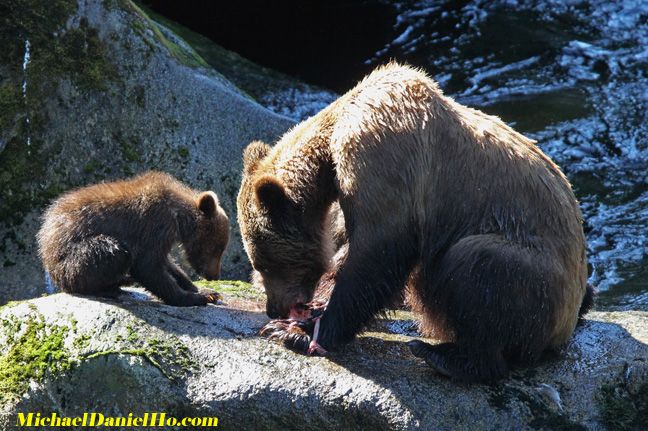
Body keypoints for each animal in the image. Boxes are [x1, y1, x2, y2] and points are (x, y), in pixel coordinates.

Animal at [37, 171, 230, 308]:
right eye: (217, 248)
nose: (215, 275)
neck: (178, 216)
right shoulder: (154, 224)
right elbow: (148, 266)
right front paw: (196, 297)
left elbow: (167, 264)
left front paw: (206, 291)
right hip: (74, 255)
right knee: (113, 251)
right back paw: (109, 287)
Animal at [238, 63, 592, 382]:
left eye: (262, 263)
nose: (273, 308)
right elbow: (347, 254)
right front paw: (301, 319)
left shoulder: (384, 157)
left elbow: (377, 253)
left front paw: (299, 331)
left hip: (536, 280)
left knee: (479, 265)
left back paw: (446, 356)